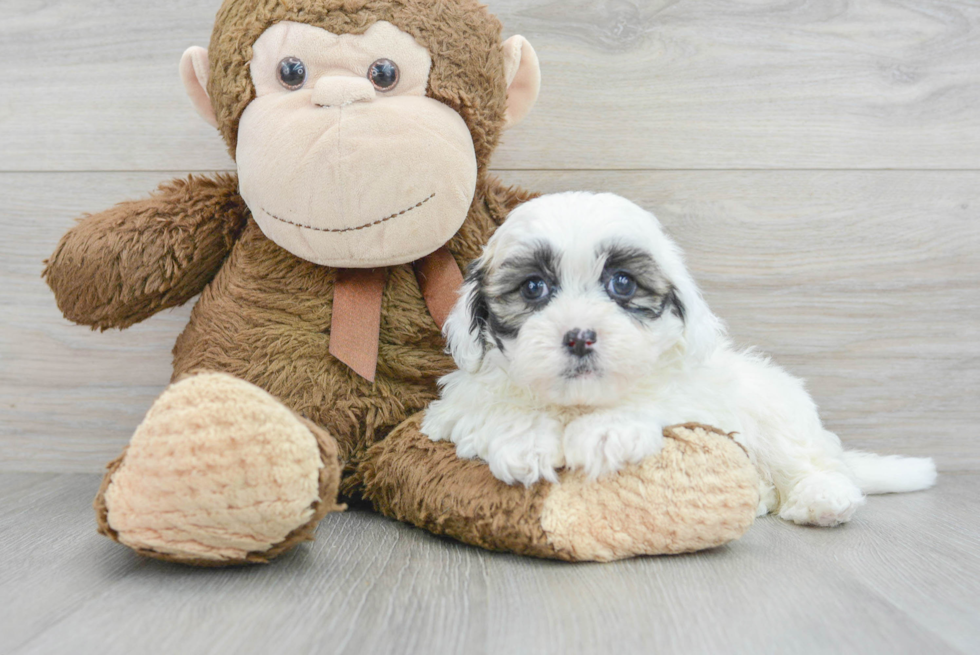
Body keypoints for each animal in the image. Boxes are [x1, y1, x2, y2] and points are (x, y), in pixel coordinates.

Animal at [424, 191, 940, 528]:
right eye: (533, 287)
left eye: (623, 284)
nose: (580, 337)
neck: (578, 404)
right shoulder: (456, 406)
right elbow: (491, 409)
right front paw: (525, 440)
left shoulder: (695, 399)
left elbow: (656, 402)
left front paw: (607, 431)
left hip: (778, 411)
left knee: (811, 461)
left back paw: (823, 498)